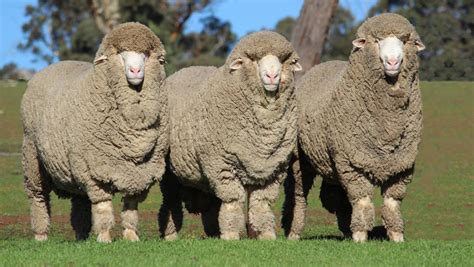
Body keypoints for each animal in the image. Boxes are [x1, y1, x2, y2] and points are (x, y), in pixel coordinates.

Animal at [20, 22, 168, 243]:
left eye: (145, 55)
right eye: (121, 54)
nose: (135, 70)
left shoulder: (140, 172)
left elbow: (131, 206)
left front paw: (131, 236)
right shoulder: (95, 168)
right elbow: (103, 206)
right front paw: (104, 237)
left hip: (74, 165)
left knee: (80, 201)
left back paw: (81, 236)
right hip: (32, 155)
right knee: (38, 197)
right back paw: (41, 235)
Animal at [157, 30, 302, 241]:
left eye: (284, 61)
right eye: (253, 60)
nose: (272, 75)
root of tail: (182, 71)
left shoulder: (273, 170)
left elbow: (261, 204)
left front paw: (266, 234)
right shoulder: (222, 166)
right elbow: (233, 201)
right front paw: (231, 235)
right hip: (169, 172)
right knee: (170, 202)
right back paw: (171, 235)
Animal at [282, 13, 426, 244]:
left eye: (405, 41)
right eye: (376, 41)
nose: (392, 62)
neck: (388, 122)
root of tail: (321, 66)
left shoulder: (402, 165)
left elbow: (392, 203)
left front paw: (396, 237)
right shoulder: (353, 164)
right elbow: (362, 201)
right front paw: (360, 237)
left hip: (333, 162)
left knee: (334, 196)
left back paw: (345, 229)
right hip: (301, 159)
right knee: (298, 195)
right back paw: (293, 233)